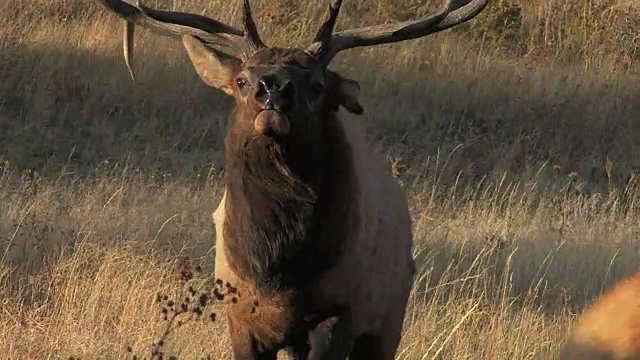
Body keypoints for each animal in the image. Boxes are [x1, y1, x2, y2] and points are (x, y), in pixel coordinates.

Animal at [95, 0, 488, 358]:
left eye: (316, 84)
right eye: (241, 80)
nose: (273, 86)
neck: (278, 277)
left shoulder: (339, 311)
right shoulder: (240, 316)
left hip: (388, 318)